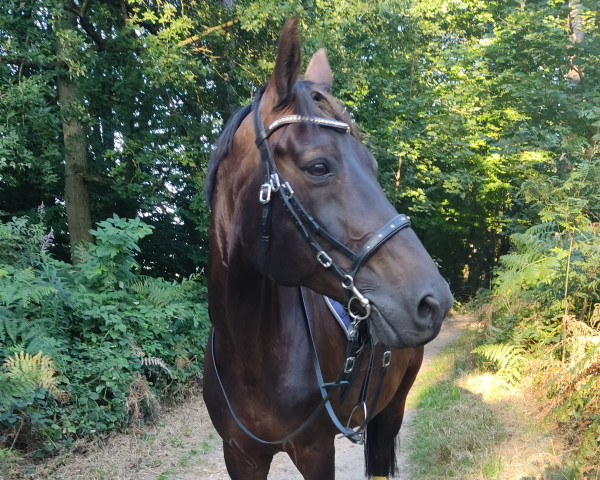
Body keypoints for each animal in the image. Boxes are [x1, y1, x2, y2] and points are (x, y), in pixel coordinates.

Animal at [204, 16, 452, 478]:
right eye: (319, 167)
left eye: (373, 166)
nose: (435, 301)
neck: (251, 355)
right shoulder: (239, 455)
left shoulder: (317, 451)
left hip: (393, 408)